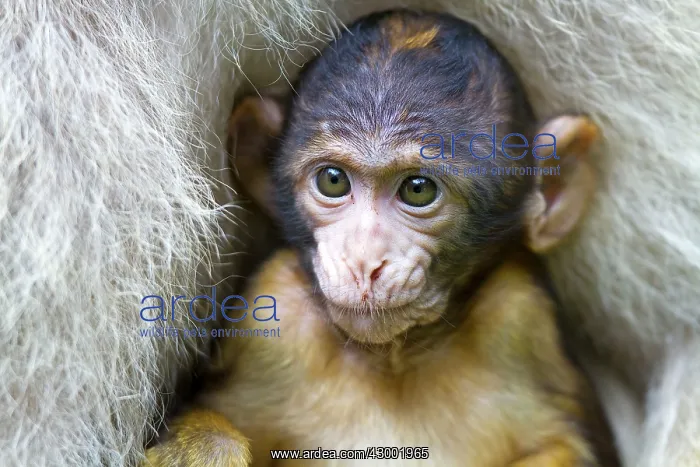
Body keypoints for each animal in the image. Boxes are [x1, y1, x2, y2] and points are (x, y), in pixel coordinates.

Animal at [143, 11, 620, 467]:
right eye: (333, 180)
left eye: (418, 189)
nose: (363, 261)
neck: (393, 357)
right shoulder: (272, 321)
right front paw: (202, 449)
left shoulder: (522, 322)